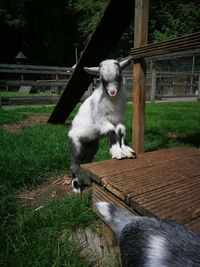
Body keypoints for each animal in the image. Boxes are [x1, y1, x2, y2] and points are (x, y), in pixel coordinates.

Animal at [68, 57, 135, 194]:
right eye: (103, 80)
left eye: (119, 76)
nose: (112, 92)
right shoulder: (101, 121)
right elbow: (111, 131)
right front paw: (117, 152)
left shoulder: (119, 119)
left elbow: (121, 131)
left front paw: (127, 150)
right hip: (76, 145)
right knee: (74, 164)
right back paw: (76, 187)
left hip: (92, 145)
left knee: (86, 162)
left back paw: (87, 181)